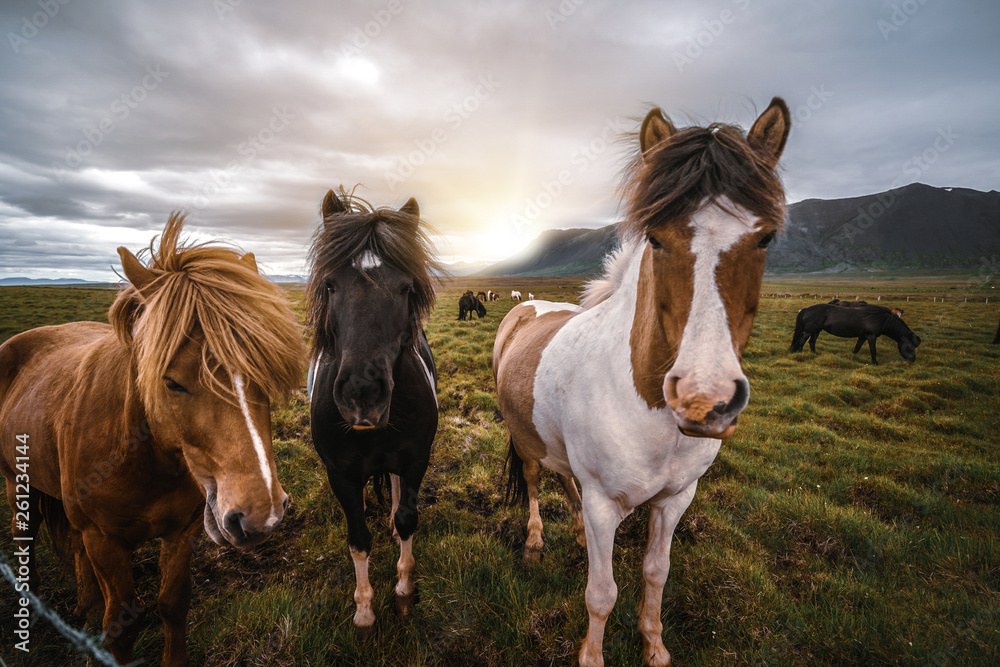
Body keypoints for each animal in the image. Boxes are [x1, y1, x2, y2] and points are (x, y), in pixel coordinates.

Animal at [0, 215, 304, 667]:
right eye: (171, 382)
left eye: (264, 374)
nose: (259, 515)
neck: (141, 458)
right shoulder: (103, 540)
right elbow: (120, 626)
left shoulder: (182, 531)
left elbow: (173, 604)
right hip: (16, 482)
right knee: (24, 536)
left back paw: (85, 605)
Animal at [306, 188, 440, 632]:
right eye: (330, 285)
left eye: (405, 288)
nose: (362, 393)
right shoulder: (341, 474)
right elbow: (358, 539)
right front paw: (364, 610)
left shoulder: (416, 459)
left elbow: (407, 519)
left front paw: (403, 590)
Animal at [492, 99, 788, 667]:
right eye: (655, 237)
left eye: (766, 237)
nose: (703, 399)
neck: (650, 415)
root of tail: (525, 308)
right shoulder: (604, 504)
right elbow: (601, 593)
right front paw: (592, 656)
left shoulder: (676, 499)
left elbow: (656, 574)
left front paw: (654, 646)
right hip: (526, 439)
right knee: (538, 482)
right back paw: (536, 541)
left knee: (566, 482)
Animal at [788, 304, 920, 366]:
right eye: (911, 346)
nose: (912, 360)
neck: (882, 319)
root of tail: (806, 309)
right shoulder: (871, 336)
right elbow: (873, 350)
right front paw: (875, 363)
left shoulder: (863, 336)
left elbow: (857, 347)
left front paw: (852, 358)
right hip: (809, 331)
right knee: (802, 341)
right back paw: (800, 355)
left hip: (816, 331)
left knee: (811, 342)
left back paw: (814, 355)